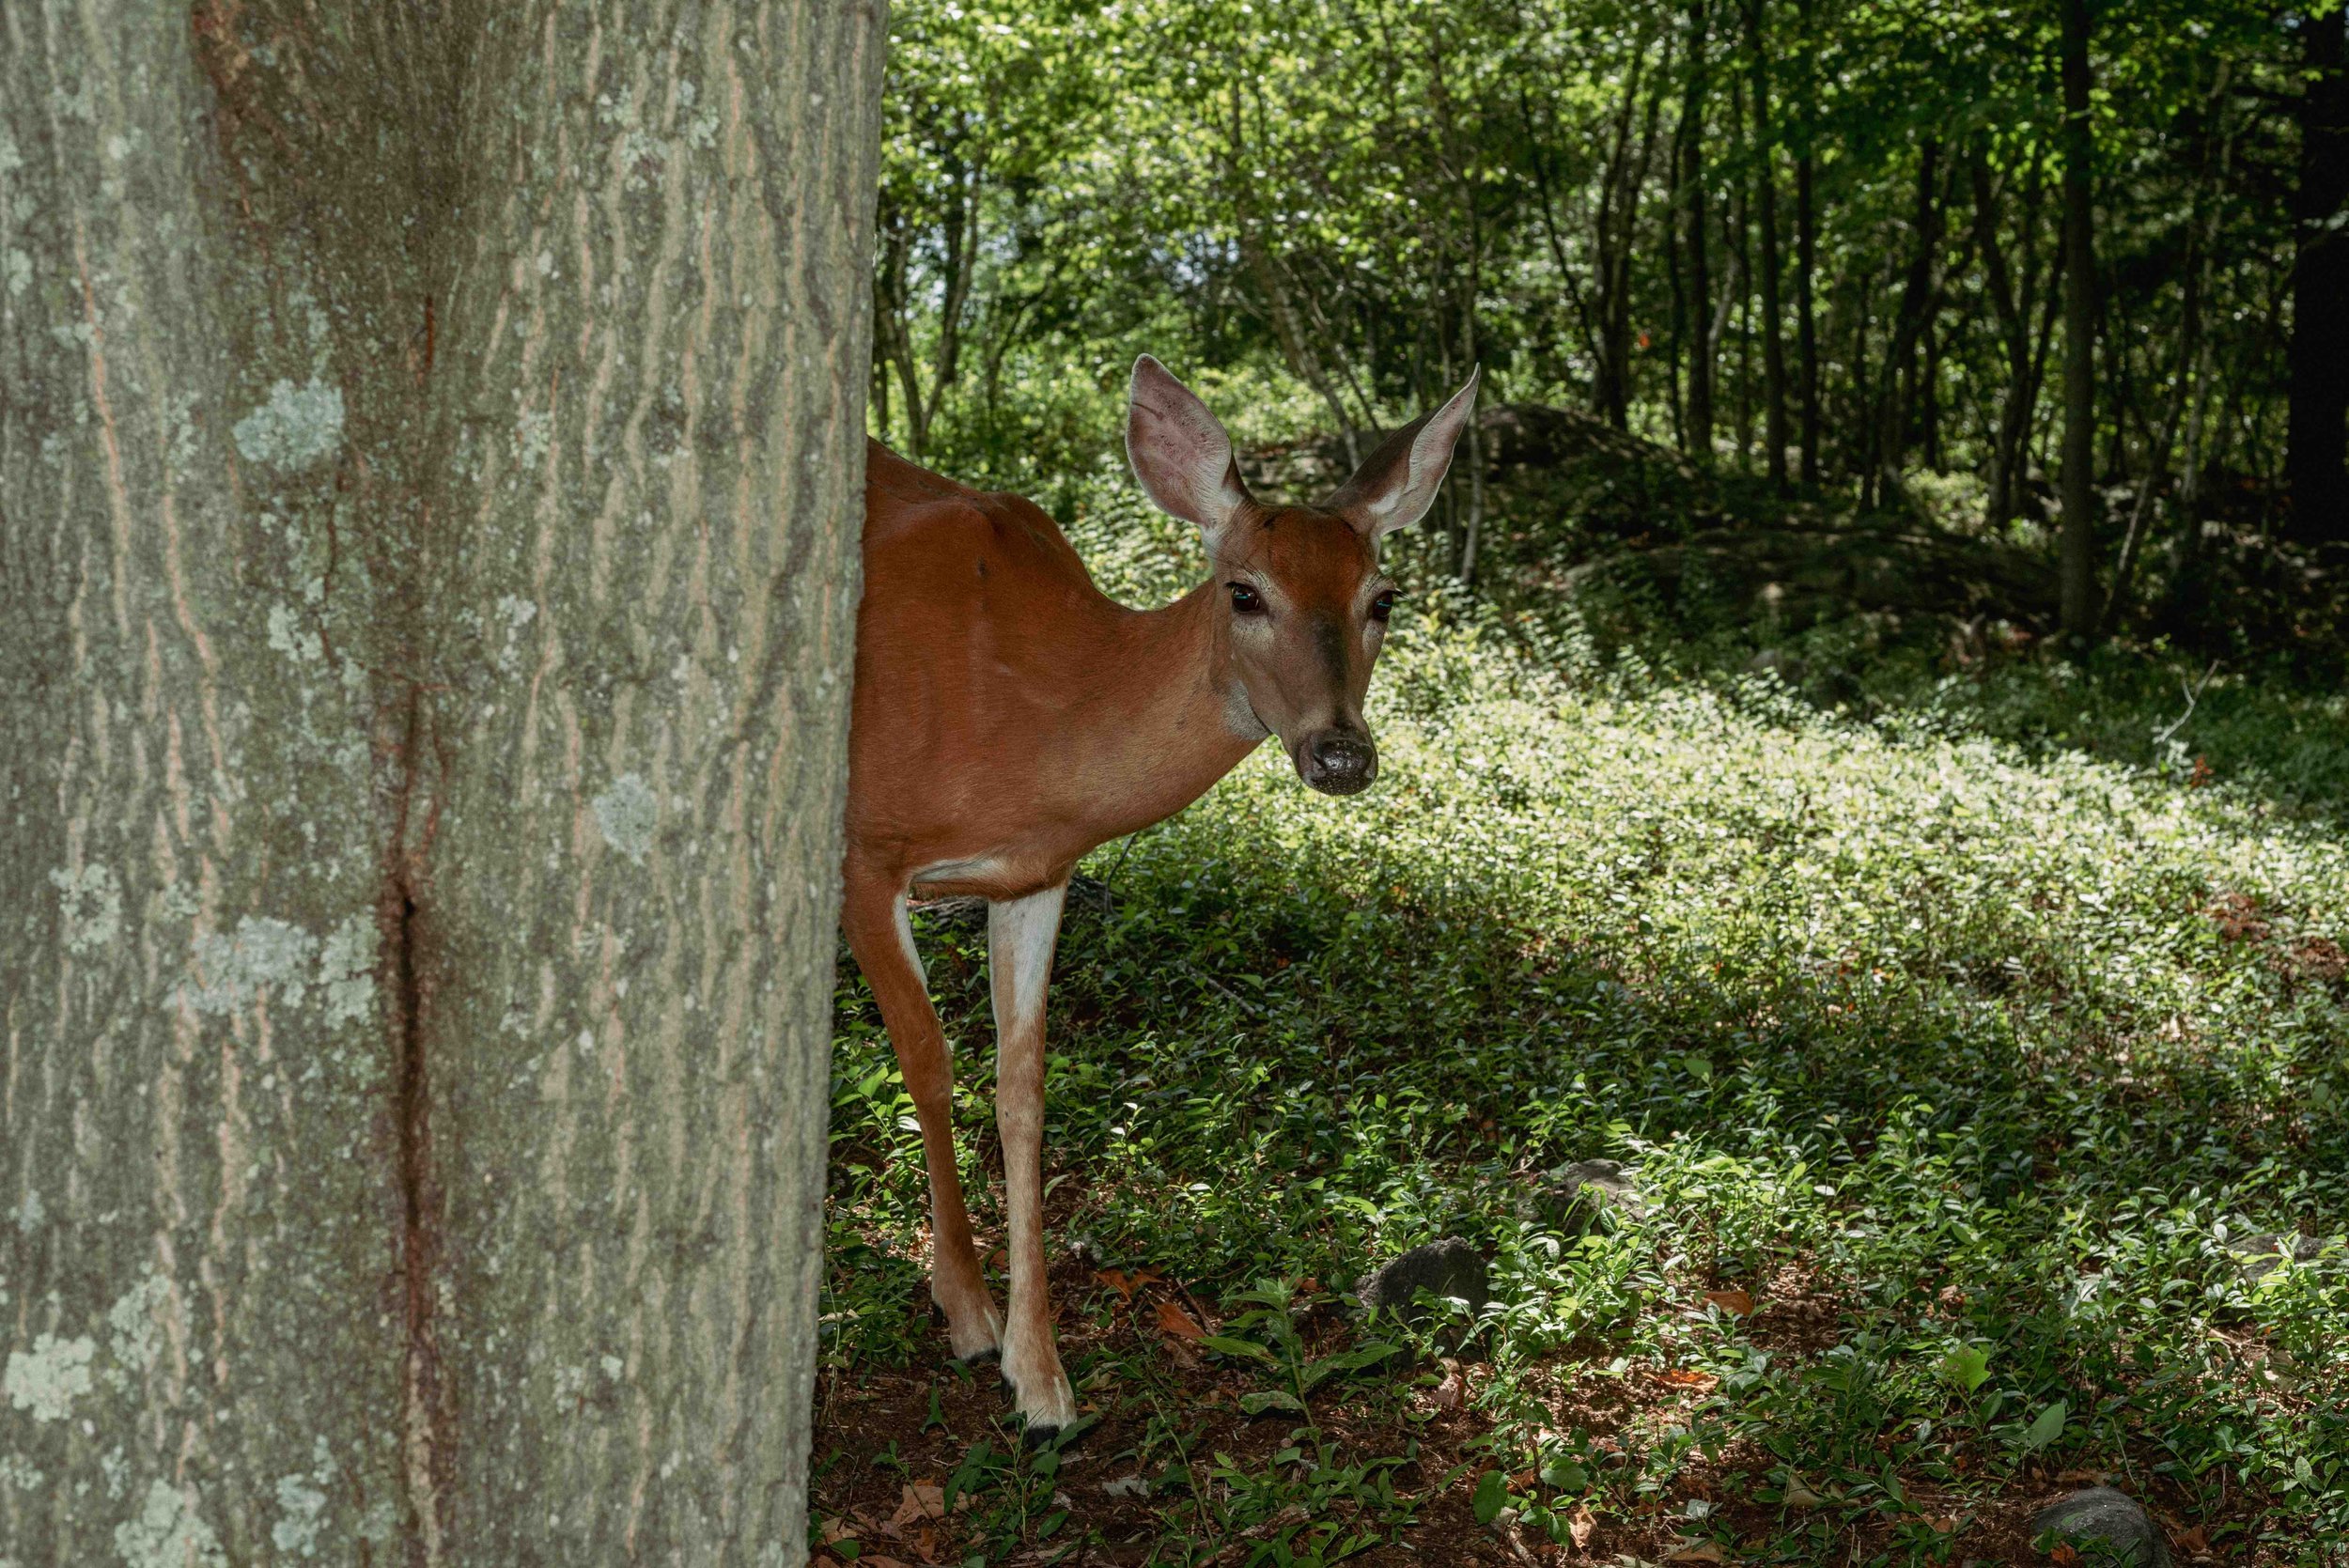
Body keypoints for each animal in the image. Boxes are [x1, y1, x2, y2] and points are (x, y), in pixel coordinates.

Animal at [840, 355, 1479, 1442]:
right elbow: (927, 1060)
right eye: (1244, 591)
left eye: (1383, 597)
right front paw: (962, 1306)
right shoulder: (864, 847)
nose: (1341, 752)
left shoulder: (1033, 874)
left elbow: (1023, 1088)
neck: (1021, 709)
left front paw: (1040, 1377)